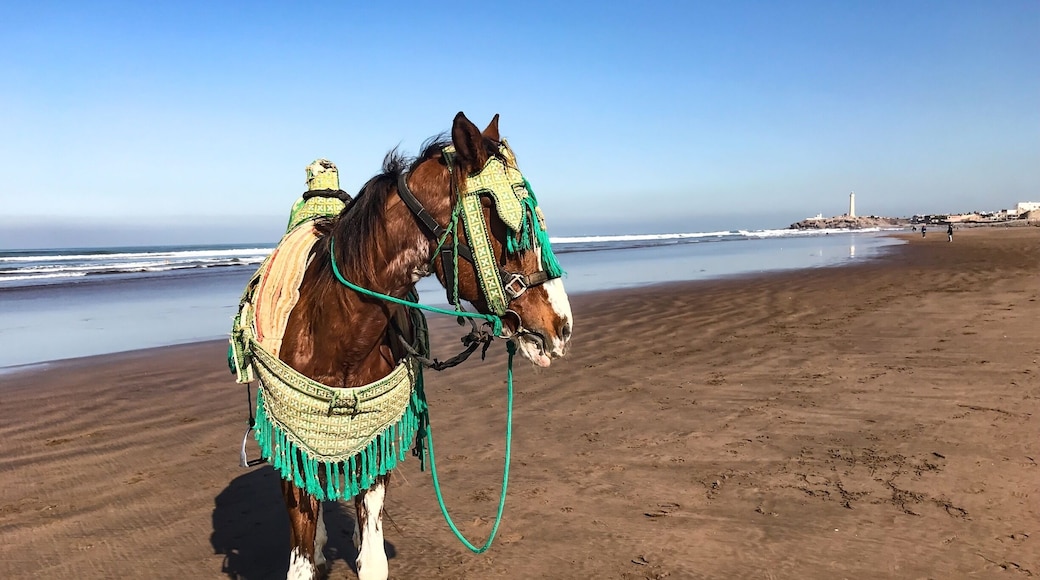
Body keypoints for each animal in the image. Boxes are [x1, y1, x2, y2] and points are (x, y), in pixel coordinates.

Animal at [239, 112, 573, 580]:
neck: (336, 334)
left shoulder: (374, 437)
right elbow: (301, 555)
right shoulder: (293, 439)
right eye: (511, 226)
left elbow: (373, 556)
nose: (561, 327)